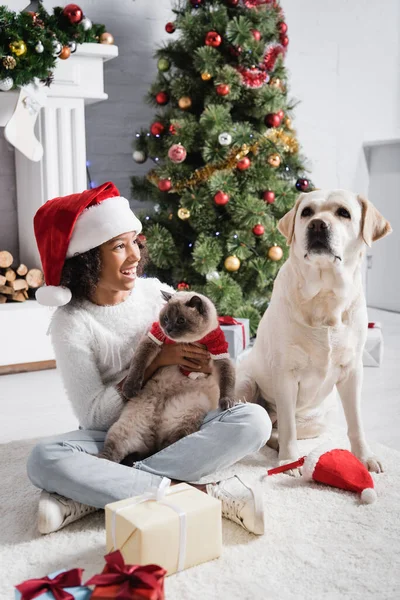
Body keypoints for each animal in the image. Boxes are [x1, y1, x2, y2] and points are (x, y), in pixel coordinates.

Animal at [98, 290, 236, 464]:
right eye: (165, 319)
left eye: (181, 320)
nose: (169, 329)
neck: (189, 342)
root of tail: (154, 429)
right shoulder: (153, 340)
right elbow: (137, 366)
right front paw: (129, 390)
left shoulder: (219, 354)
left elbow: (227, 380)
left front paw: (227, 402)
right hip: (125, 430)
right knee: (113, 453)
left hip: (187, 417)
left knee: (166, 448)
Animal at [236, 190, 392, 476]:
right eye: (307, 212)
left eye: (344, 213)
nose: (318, 225)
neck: (325, 296)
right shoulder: (285, 373)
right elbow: (288, 428)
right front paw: (288, 461)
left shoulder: (353, 371)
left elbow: (356, 423)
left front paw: (364, 457)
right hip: (245, 385)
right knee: (270, 424)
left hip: (318, 419)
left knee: (279, 430)